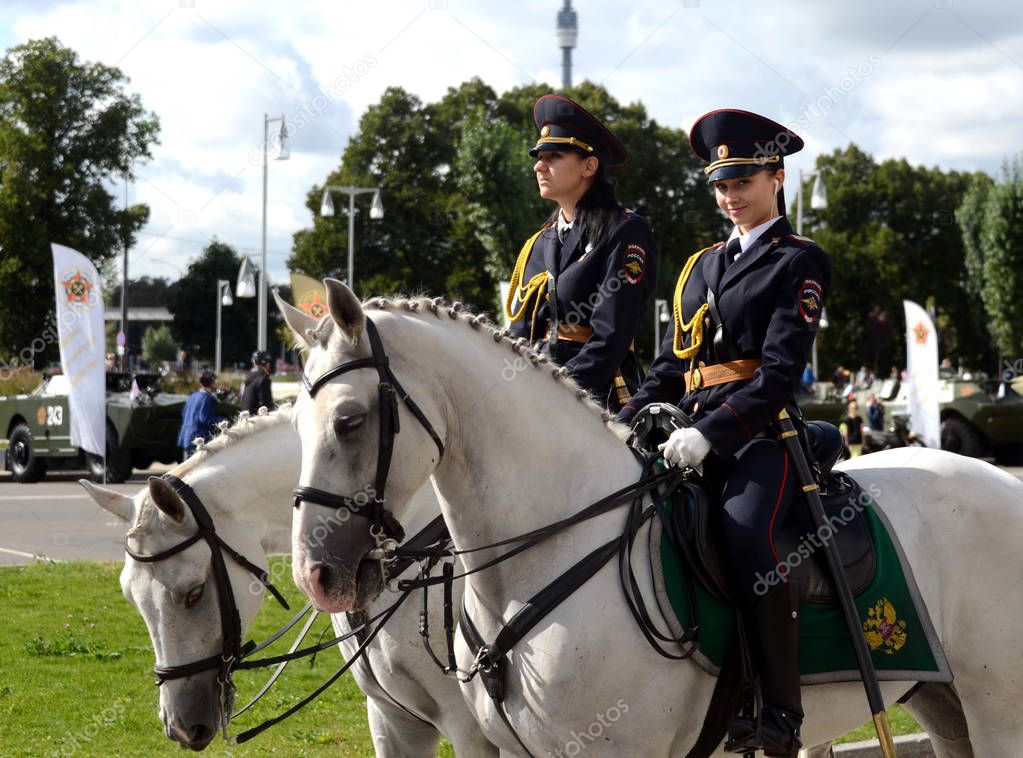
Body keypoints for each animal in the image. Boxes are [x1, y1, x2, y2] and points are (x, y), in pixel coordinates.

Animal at [280, 280, 1014, 752]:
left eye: (349, 420)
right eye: (294, 420)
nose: (316, 575)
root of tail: (1003, 482)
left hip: (998, 708)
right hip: (942, 701)